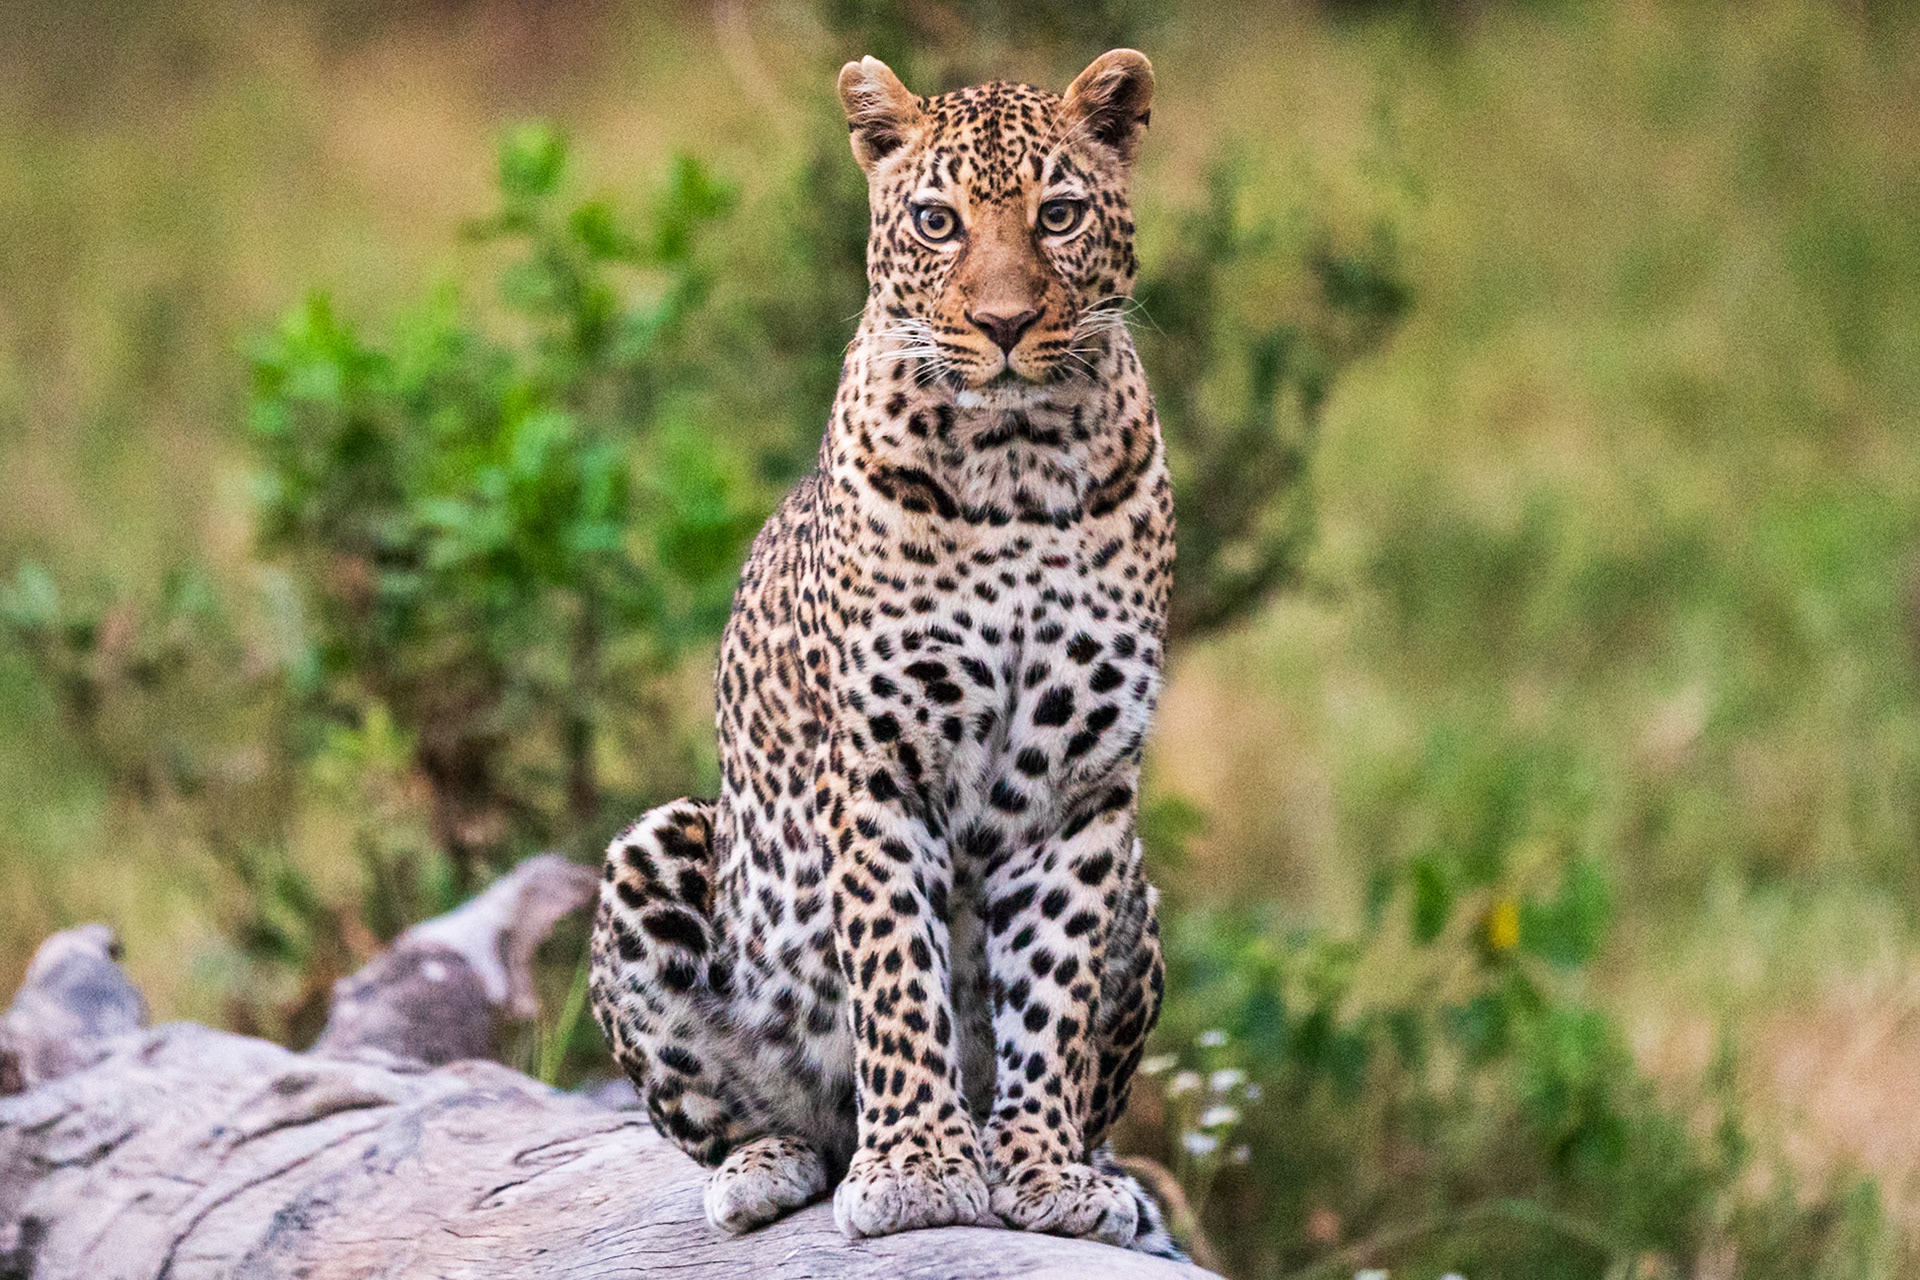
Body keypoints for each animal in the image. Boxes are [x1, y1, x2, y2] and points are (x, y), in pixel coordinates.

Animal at [588, 48, 1179, 1257]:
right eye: (936, 221)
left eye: (1057, 215)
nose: (1003, 323)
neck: (1018, 461)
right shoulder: (876, 761)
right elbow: (898, 968)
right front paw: (916, 1167)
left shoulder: (1085, 784)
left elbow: (1052, 985)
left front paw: (1043, 1169)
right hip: (658, 848)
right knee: (747, 1121)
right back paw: (769, 1168)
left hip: (1144, 897)